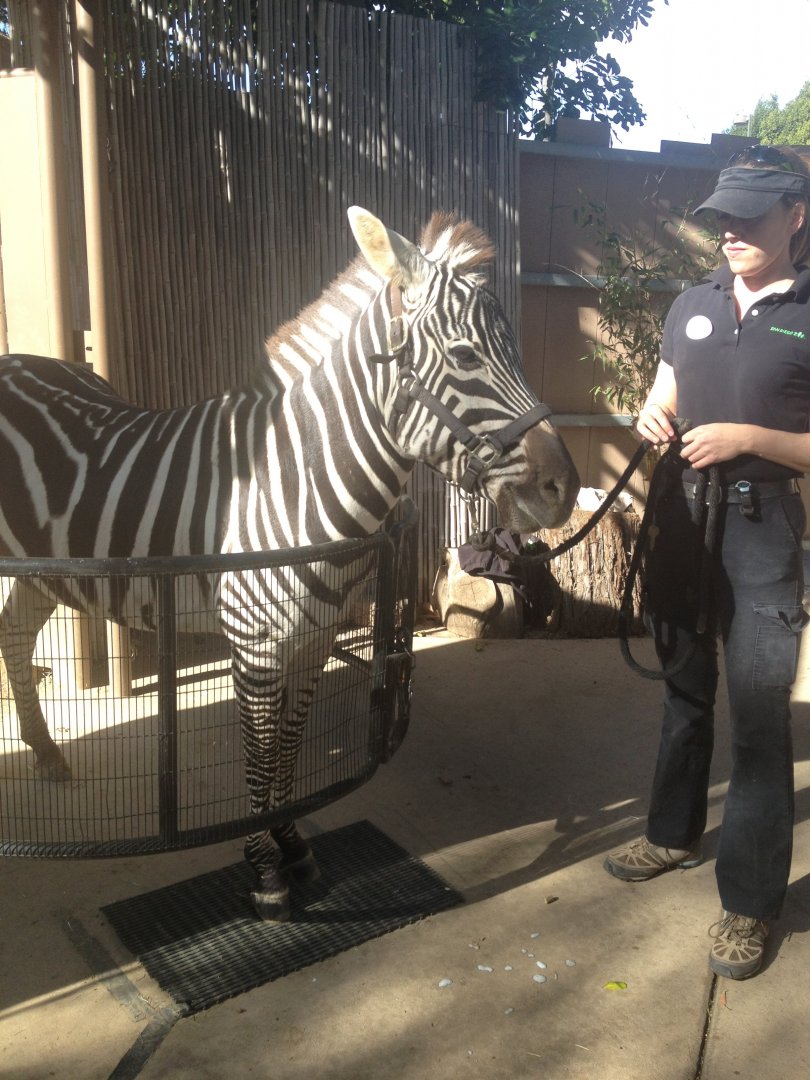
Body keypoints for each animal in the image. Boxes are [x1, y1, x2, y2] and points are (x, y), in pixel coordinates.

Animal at [0, 206, 579, 920]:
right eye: (466, 356)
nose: (565, 489)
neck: (296, 483)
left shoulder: (315, 639)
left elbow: (290, 751)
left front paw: (293, 846)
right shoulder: (255, 646)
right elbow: (259, 754)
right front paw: (264, 870)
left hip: (46, 567)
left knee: (16, 632)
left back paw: (48, 754)